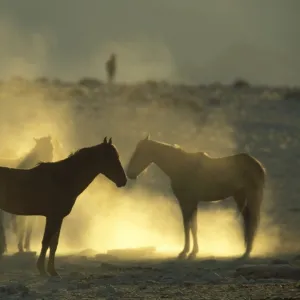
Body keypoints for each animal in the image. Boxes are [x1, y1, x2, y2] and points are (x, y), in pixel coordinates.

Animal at [0, 137, 126, 276]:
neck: (62, 178)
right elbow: (46, 242)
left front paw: (52, 270)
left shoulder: (58, 218)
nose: (123, 180)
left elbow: (53, 244)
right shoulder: (52, 216)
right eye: (110, 158)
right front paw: (42, 269)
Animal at [125, 136, 266, 260]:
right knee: (248, 219)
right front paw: (192, 251)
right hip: (240, 196)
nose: (129, 173)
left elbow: (187, 225)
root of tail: (257, 164)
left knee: (252, 221)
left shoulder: (186, 202)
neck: (181, 167)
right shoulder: (192, 203)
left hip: (252, 196)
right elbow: (193, 226)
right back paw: (246, 250)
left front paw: (185, 252)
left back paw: (247, 252)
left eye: (140, 152)